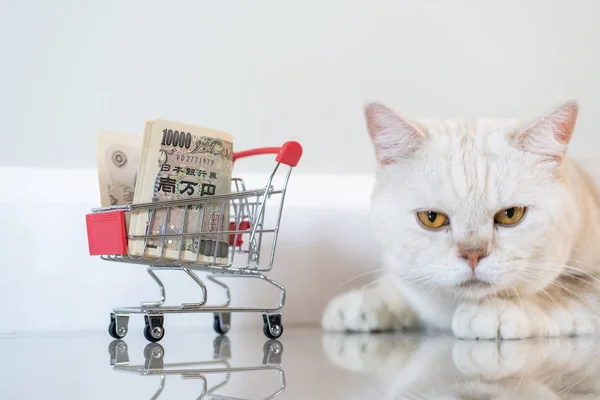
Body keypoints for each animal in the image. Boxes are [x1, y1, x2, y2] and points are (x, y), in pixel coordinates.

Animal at [322, 101, 600, 340]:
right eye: (431, 218)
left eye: (510, 215)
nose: (473, 254)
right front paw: (366, 301)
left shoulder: (588, 283)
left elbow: (562, 292)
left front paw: (493, 310)